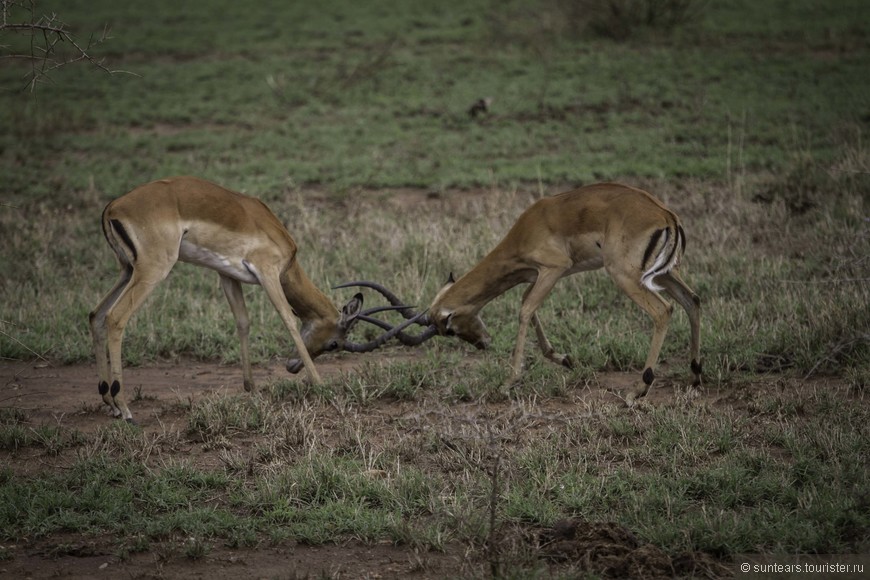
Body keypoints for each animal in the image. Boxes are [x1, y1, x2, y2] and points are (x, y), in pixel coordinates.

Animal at [90, 176, 414, 422]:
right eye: (335, 344)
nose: (292, 366)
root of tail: (112, 207)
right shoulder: (268, 272)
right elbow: (288, 320)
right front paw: (321, 385)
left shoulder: (227, 275)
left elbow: (243, 322)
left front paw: (252, 388)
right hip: (153, 269)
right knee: (116, 317)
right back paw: (125, 408)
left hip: (127, 270)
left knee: (96, 315)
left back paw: (109, 401)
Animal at [338, 184, 700, 402]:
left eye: (449, 328)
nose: (483, 343)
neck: (528, 227)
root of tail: (666, 215)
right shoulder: (535, 275)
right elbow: (531, 308)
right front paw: (565, 359)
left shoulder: (554, 269)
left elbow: (524, 311)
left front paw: (508, 381)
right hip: (664, 273)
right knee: (692, 301)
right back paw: (695, 376)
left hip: (625, 275)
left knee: (663, 311)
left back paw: (640, 387)